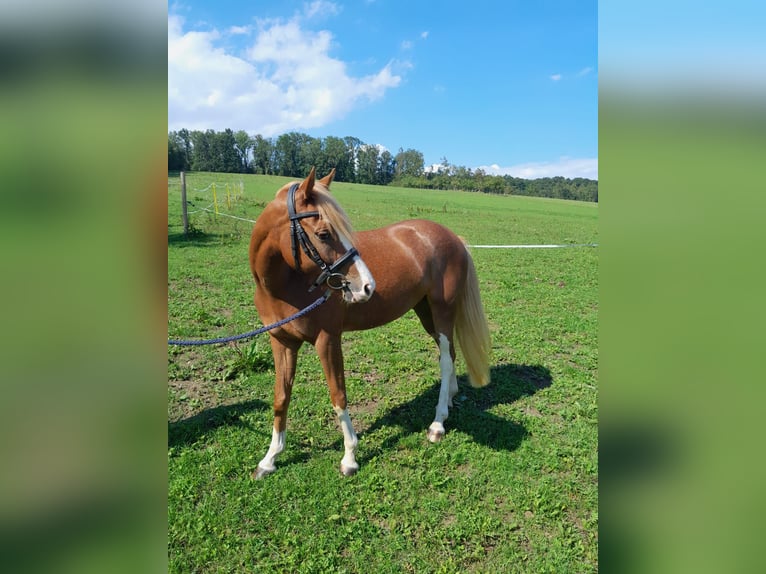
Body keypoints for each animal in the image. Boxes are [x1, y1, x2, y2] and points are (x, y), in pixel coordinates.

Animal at [249, 169, 496, 480]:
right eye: (323, 233)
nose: (366, 286)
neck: (285, 285)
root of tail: (454, 238)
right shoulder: (282, 342)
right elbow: (281, 397)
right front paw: (270, 459)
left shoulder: (328, 340)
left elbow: (338, 396)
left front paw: (350, 458)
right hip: (426, 312)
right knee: (449, 354)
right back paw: (449, 400)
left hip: (442, 311)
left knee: (445, 360)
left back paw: (438, 424)